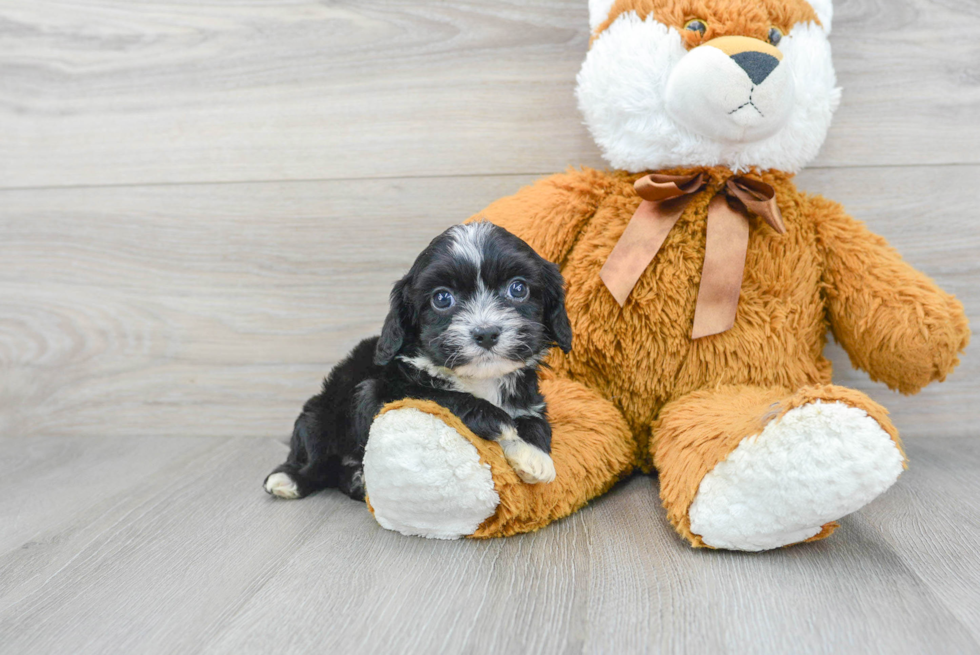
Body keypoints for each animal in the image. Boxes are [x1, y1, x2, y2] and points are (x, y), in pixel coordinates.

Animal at [266, 222, 576, 502]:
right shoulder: (378, 394)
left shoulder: (530, 400)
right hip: (320, 415)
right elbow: (435, 396)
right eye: (442, 298)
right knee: (315, 456)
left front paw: (533, 454)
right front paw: (493, 417)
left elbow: (536, 421)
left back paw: (357, 480)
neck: (479, 379)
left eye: (518, 289)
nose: (486, 333)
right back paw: (289, 479)